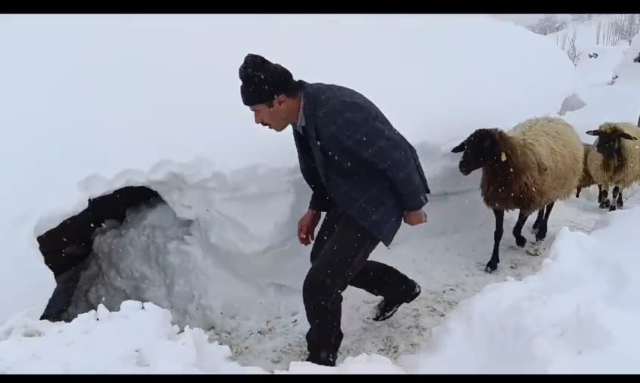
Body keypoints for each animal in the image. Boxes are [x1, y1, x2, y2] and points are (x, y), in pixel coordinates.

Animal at [450, 116, 584, 272]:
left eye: (486, 145)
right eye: (467, 145)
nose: (462, 166)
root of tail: (554, 118)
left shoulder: (528, 200)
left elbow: (516, 228)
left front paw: (521, 241)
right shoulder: (498, 202)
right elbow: (498, 233)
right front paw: (493, 262)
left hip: (557, 186)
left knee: (549, 207)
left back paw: (541, 232)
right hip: (544, 188)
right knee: (542, 206)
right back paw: (537, 225)